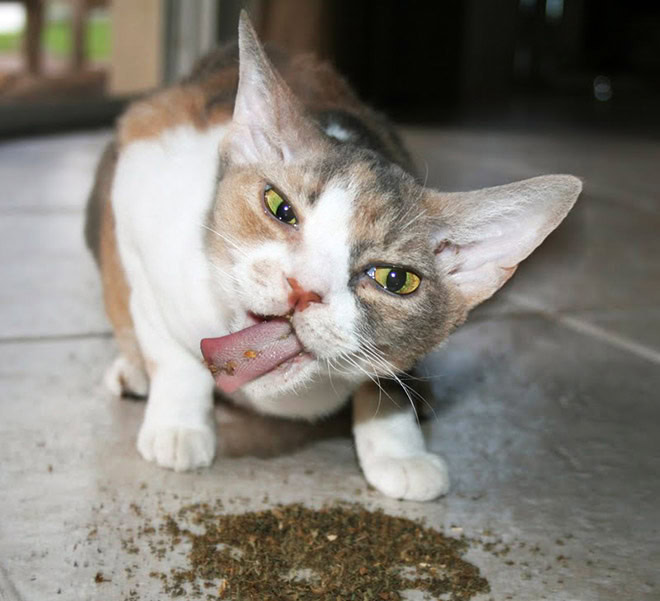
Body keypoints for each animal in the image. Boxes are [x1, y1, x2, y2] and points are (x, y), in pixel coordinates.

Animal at [85, 12, 580, 502]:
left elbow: (387, 376)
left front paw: (397, 447)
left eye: (395, 279)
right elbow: (167, 345)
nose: (302, 289)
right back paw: (134, 373)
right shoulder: (141, 181)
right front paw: (179, 423)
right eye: (278, 207)